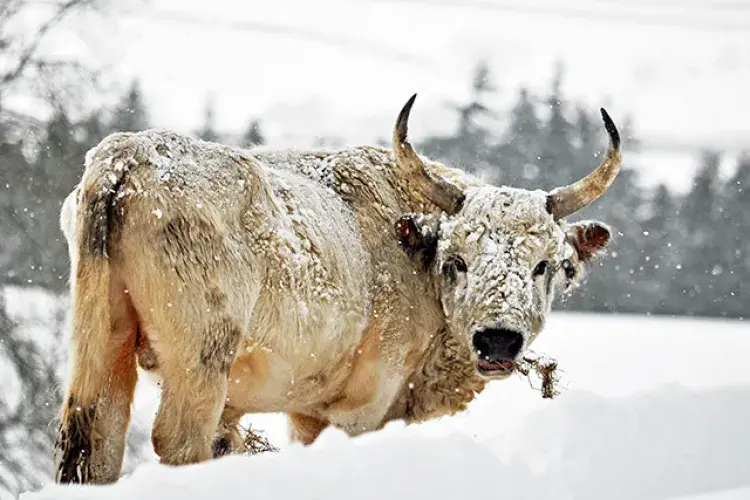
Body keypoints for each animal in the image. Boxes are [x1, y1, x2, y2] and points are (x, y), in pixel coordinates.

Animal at [55, 94, 621, 484]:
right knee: (176, 441)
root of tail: (129, 156)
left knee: (95, 440)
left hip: (103, 344)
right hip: (200, 360)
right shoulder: (360, 408)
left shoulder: (300, 412)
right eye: (456, 261)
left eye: (544, 265)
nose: (498, 339)